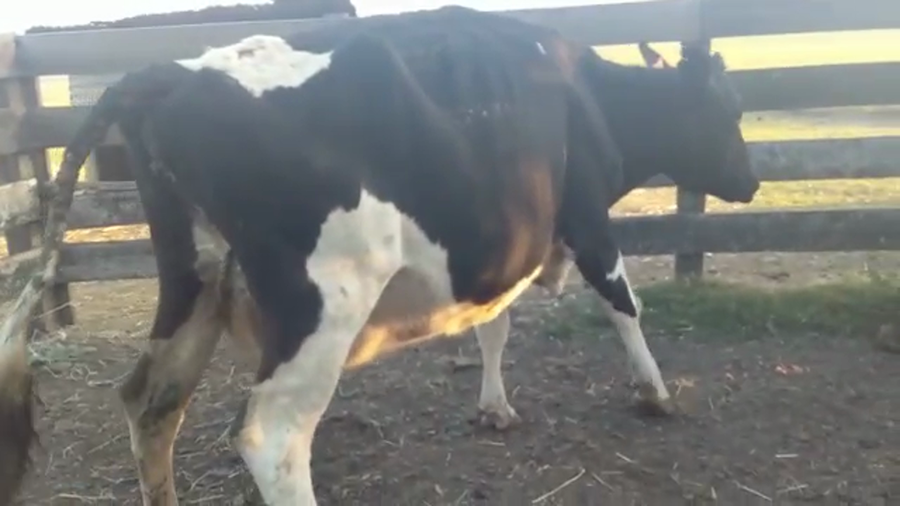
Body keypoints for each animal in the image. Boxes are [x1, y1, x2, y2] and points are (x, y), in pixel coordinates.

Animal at [0, 6, 757, 505]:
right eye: (730, 111)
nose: (751, 184)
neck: (586, 93)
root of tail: (168, 73)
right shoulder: (589, 217)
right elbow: (625, 303)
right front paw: (655, 392)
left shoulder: (491, 251)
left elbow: (493, 326)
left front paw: (494, 406)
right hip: (322, 302)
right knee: (273, 438)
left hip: (195, 283)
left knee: (149, 405)